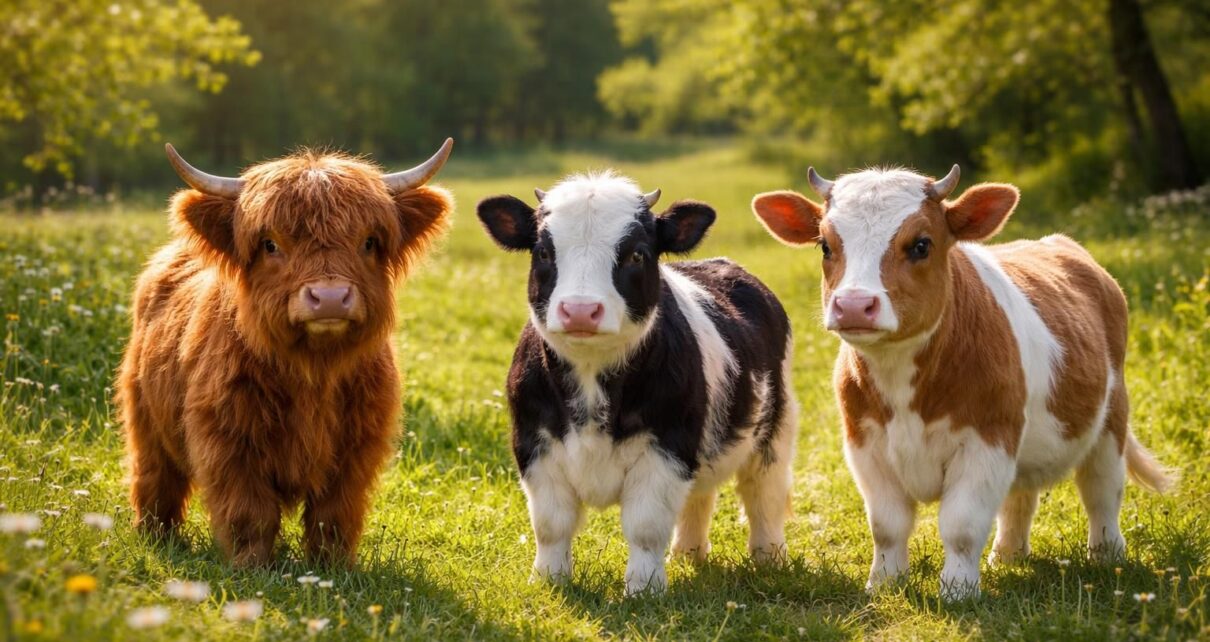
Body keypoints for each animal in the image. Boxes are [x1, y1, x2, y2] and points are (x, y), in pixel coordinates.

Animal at [116, 140, 454, 566]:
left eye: (368, 242)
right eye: (271, 244)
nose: (330, 297)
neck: (313, 370)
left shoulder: (357, 447)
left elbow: (334, 516)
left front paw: (331, 567)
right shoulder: (228, 441)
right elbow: (251, 513)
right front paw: (252, 566)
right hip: (145, 418)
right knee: (155, 478)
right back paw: (156, 535)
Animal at [476, 171, 799, 595]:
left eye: (637, 254)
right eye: (543, 252)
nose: (580, 310)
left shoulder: (667, 447)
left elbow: (645, 526)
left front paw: (644, 590)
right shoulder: (533, 444)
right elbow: (551, 524)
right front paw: (549, 581)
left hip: (776, 431)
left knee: (763, 495)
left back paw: (769, 559)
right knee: (700, 497)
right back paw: (688, 554)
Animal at [751, 165, 1175, 600]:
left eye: (921, 244)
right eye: (825, 245)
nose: (853, 305)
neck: (902, 380)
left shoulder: (987, 441)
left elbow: (962, 525)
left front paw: (958, 591)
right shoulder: (865, 444)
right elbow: (887, 525)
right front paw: (884, 584)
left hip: (1111, 419)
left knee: (1102, 490)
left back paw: (1108, 556)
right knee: (1021, 496)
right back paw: (1008, 555)